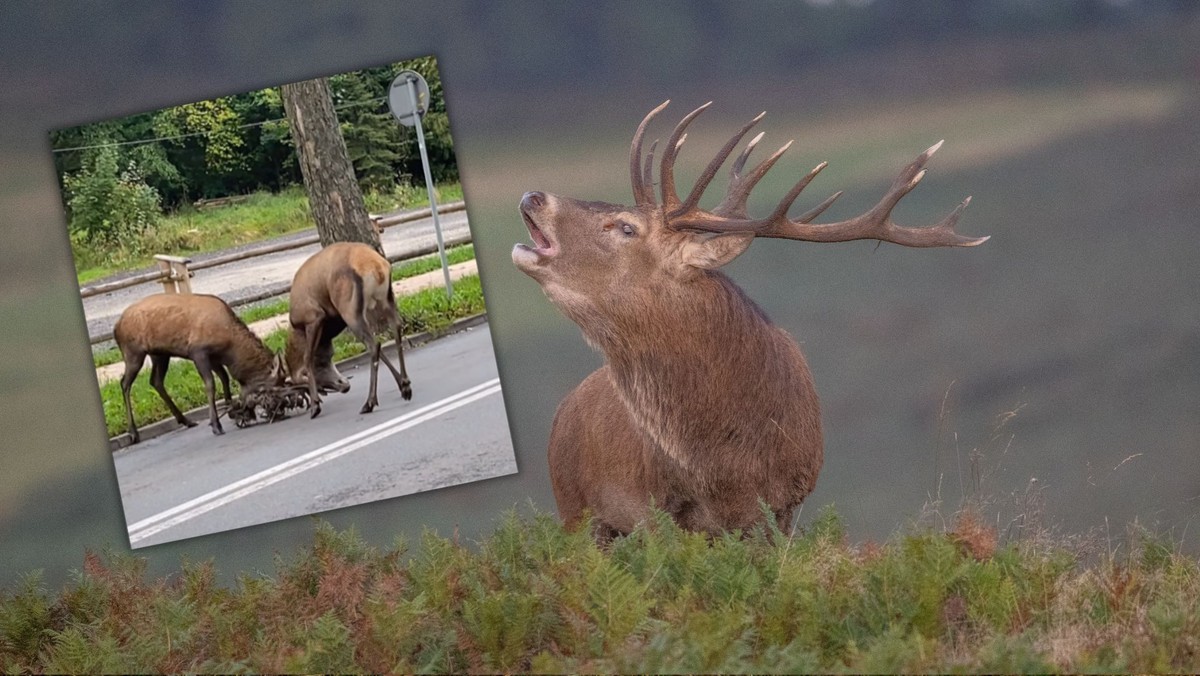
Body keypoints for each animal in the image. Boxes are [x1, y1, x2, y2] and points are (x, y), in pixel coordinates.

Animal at [511, 100, 988, 540]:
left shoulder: (787, 503)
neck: (727, 464)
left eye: (627, 228)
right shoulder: (656, 509)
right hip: (573, 506)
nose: (533, 196)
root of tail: (563, 410)